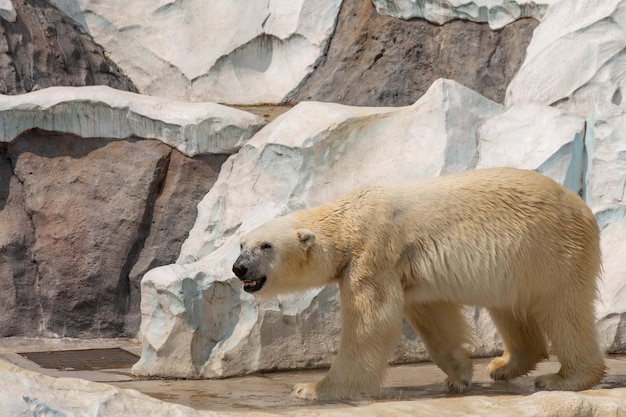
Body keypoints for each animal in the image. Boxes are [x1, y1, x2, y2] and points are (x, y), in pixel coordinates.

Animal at [230, 166, 604, 400]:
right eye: (241, 243)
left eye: (266, 246)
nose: (239, 268)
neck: (349, 220)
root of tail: (583, 207)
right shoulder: (407, 270)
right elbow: (432, 316)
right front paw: (459, 374)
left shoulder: (373, 253)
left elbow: (372, 322)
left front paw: (312, 389)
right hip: (516, 263)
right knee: (509, 306)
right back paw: (504, 365)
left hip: (550, 249)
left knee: (563, 309)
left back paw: (564, 377)